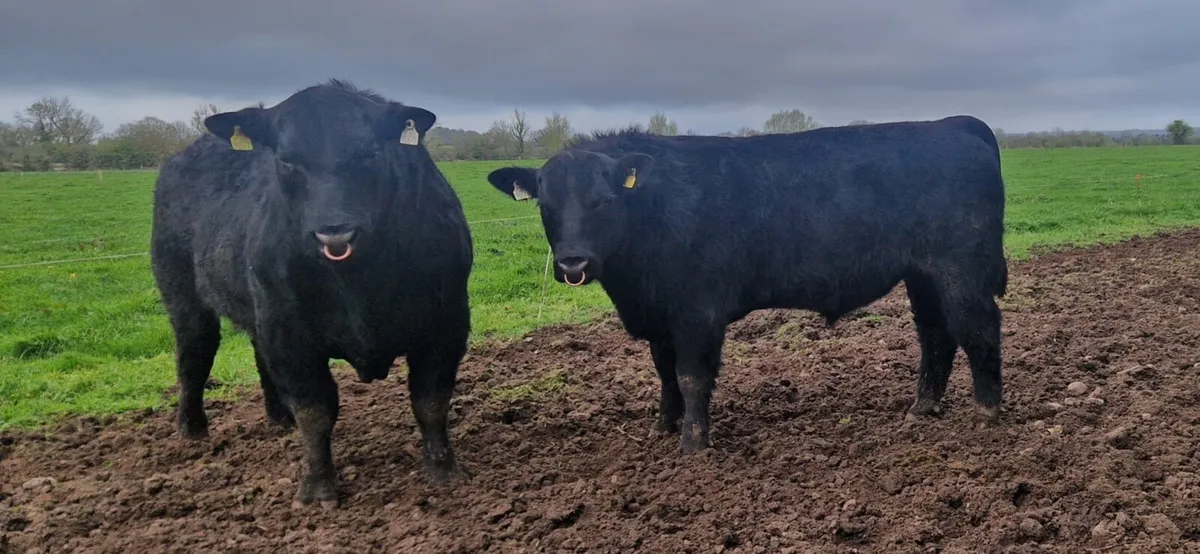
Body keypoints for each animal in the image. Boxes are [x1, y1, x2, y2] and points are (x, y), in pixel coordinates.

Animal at [150, 79, 473, 507]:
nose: (334, 231)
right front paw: (318, 488)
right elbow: (315, 411)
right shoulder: (290, 335)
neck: (360, 281)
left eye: (370, 153)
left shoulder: (446, 323)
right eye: (286, 160)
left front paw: (443, 471)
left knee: (256, 356)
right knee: (194, 356)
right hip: (184, 295)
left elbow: (430, 401)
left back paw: (278, 417)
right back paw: (192, 429)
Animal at [486, 116, 1008, 454]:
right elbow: (664, 373)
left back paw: (986, 413)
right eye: (545, 205)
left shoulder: (698, 313)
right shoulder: (660, 318)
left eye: (603, 200)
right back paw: (921, 408)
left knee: (978, 328)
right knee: (936, 335)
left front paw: (693, 445)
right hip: (923, 274)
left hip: (961, 267)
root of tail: (952, 123)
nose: (573, 261)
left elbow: (691, 377)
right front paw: (663, 427)